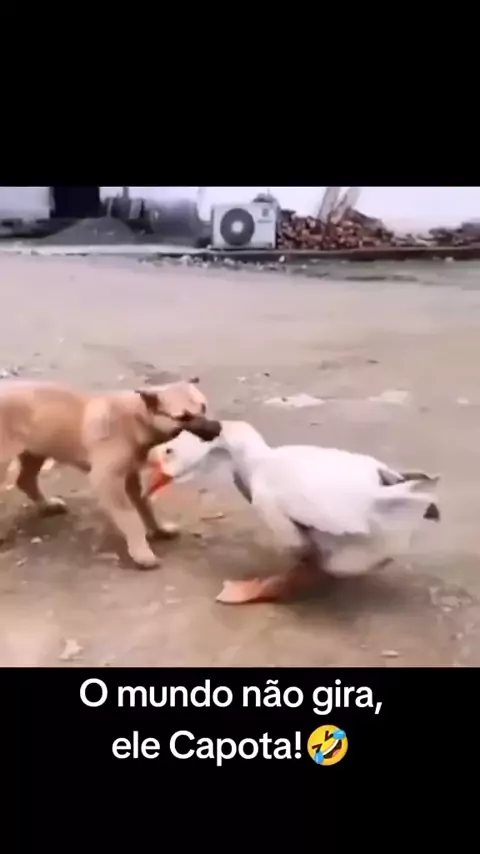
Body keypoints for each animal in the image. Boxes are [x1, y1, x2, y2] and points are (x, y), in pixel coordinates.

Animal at [0, 379, 221, 567]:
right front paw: (141, 552)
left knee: (25, 480)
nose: (217, 428)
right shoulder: (108, 481)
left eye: (203, 407)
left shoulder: (131, 477)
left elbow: (145, 506)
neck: (137, 417)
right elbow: (130, 517)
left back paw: (46, 505)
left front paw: (158, 530)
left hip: (36, 450)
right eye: (184, 417)